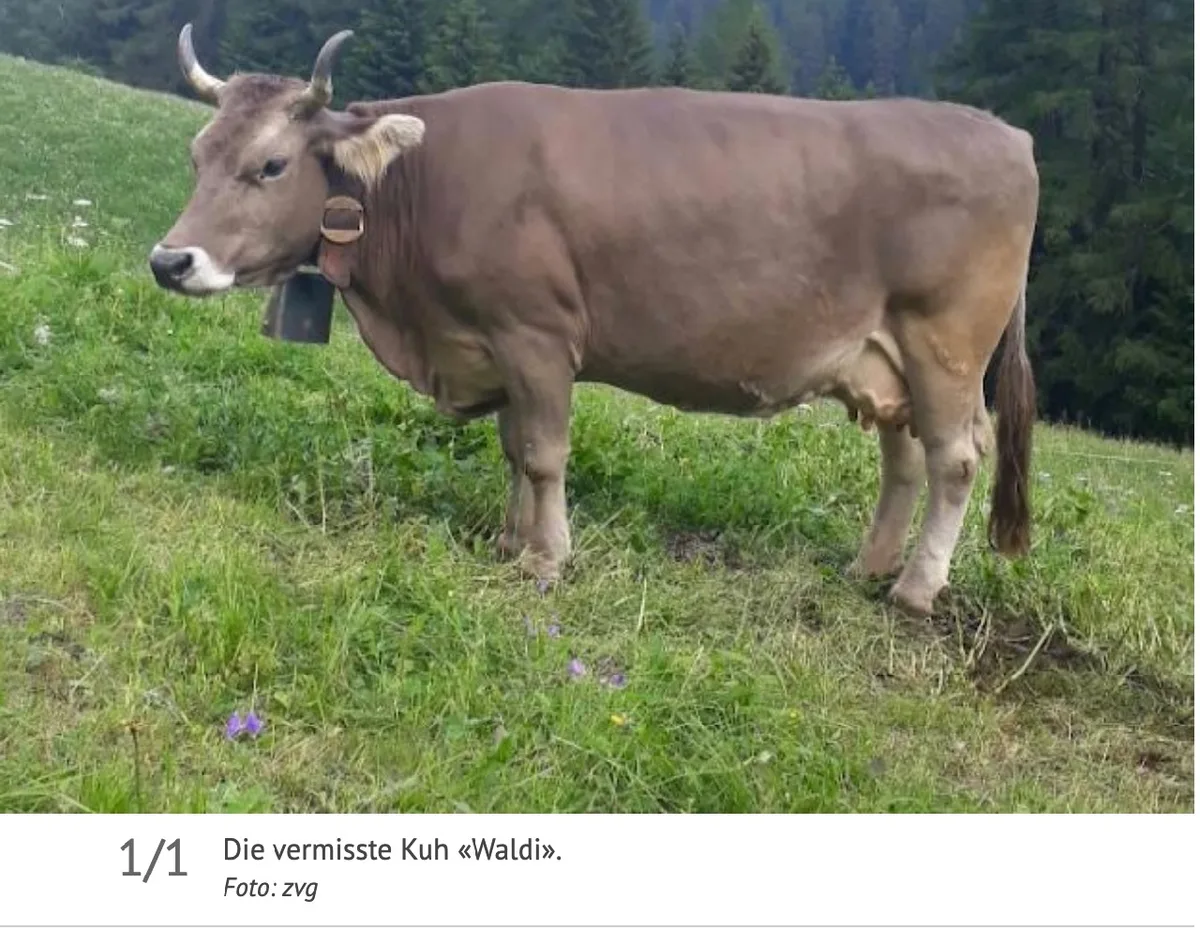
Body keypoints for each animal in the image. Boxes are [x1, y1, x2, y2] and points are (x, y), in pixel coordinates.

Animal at [150, 25, 1038, 618]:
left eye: (270, 164)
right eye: (197, 155)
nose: (171, 260)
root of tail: (1008, 134)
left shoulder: (536, 334)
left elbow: (544, 454)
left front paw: (548, 560)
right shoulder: (487, 340)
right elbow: (513, 448)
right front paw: (511, 543)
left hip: (944, 344)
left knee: (956, 458)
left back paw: (916, 588)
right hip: (886, 356)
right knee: (905, 458)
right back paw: (869, 567)